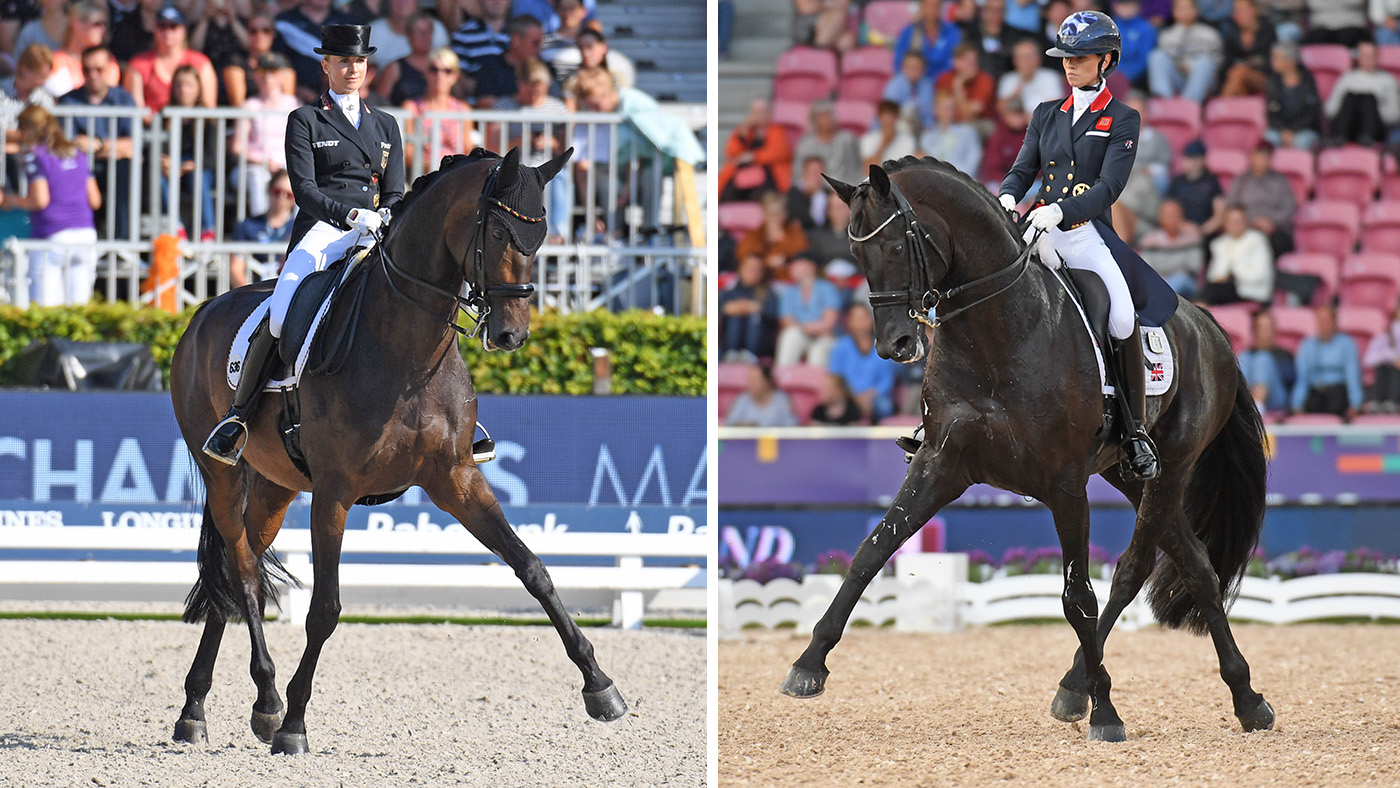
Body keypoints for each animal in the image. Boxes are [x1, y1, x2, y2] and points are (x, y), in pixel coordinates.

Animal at [167, 146, 627, 755]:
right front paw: (294, 725)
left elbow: (533, 569)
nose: (511, 336)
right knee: (241, 572)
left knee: (234, 566)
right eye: (498, 231)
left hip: (274, 484)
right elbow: (325, 609)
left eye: (542, 236)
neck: (408, 349)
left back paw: (201, 708)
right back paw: (262, 702)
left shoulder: (456, 480)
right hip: (222, 470)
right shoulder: (334, 493)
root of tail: (202, 312)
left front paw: (600, 686)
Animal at [779, 157, 1274, 742]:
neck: (998, 331)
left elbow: (1078, 597)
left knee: (1132, 570)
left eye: (898, 246)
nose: (893, 345)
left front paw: (1107, 715)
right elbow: (870, 553)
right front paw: (808, 665)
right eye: (856, 256)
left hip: (1170, 466)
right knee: (1196, 564)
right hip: (1130, 474)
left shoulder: (1065, 486)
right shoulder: (940, 462)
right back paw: (1244, 699)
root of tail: (1208, 325)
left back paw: (1088, 687)